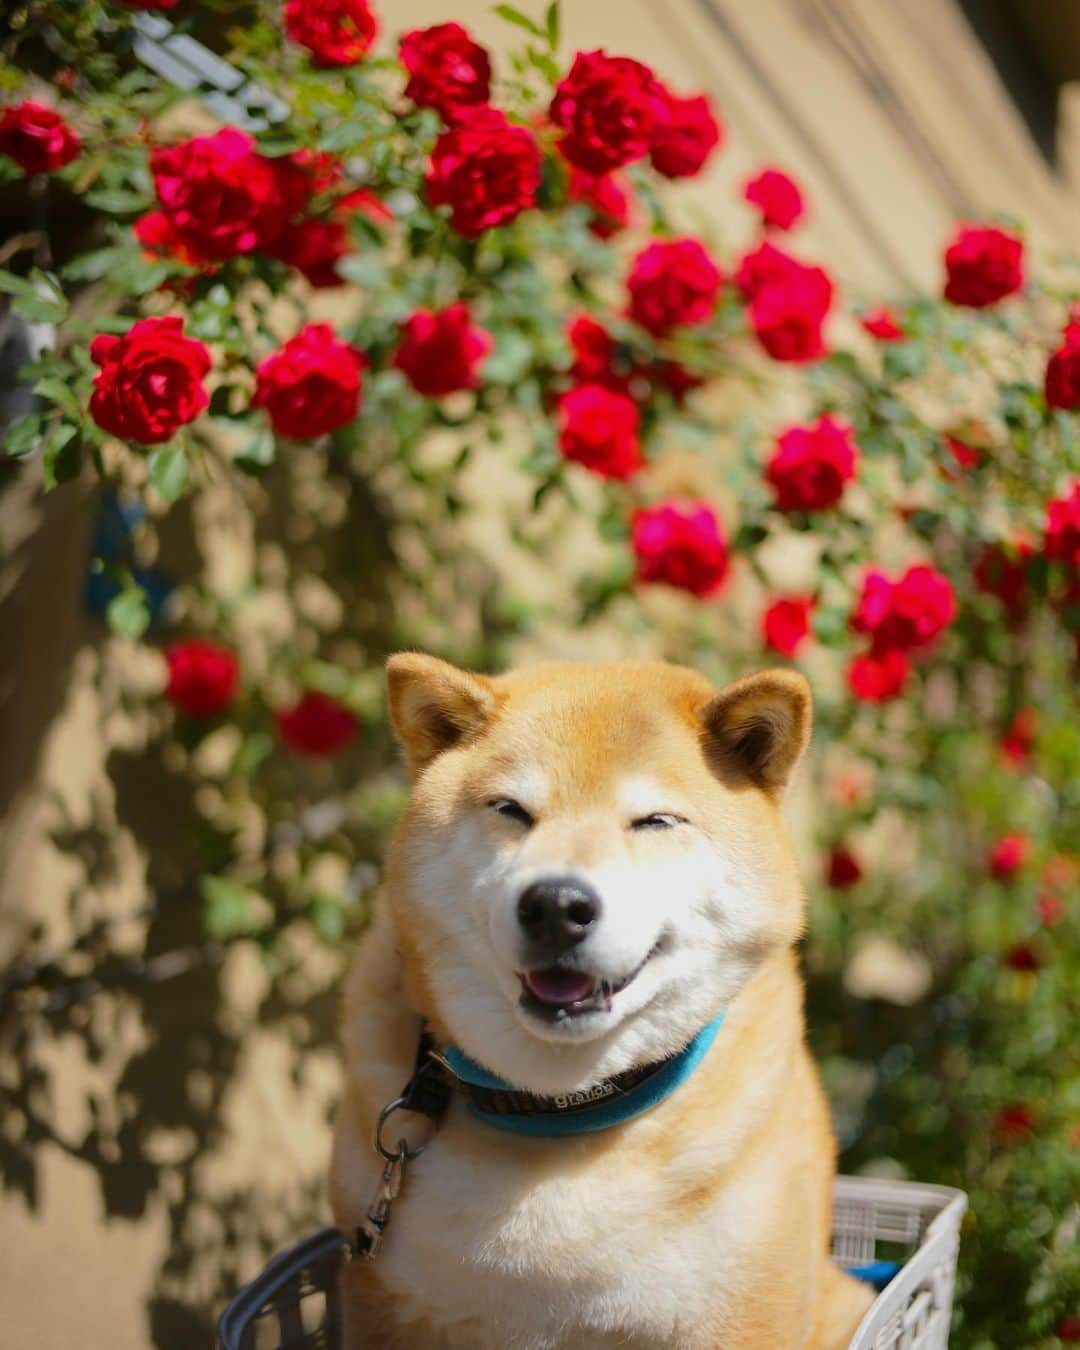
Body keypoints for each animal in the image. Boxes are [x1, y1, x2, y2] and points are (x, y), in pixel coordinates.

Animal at [330, 648, 874, 1344]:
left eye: (655, 821)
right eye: (510, 810)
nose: (556, 905)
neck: (559, 1110)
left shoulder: (748, 1315)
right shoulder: (377, 1296)